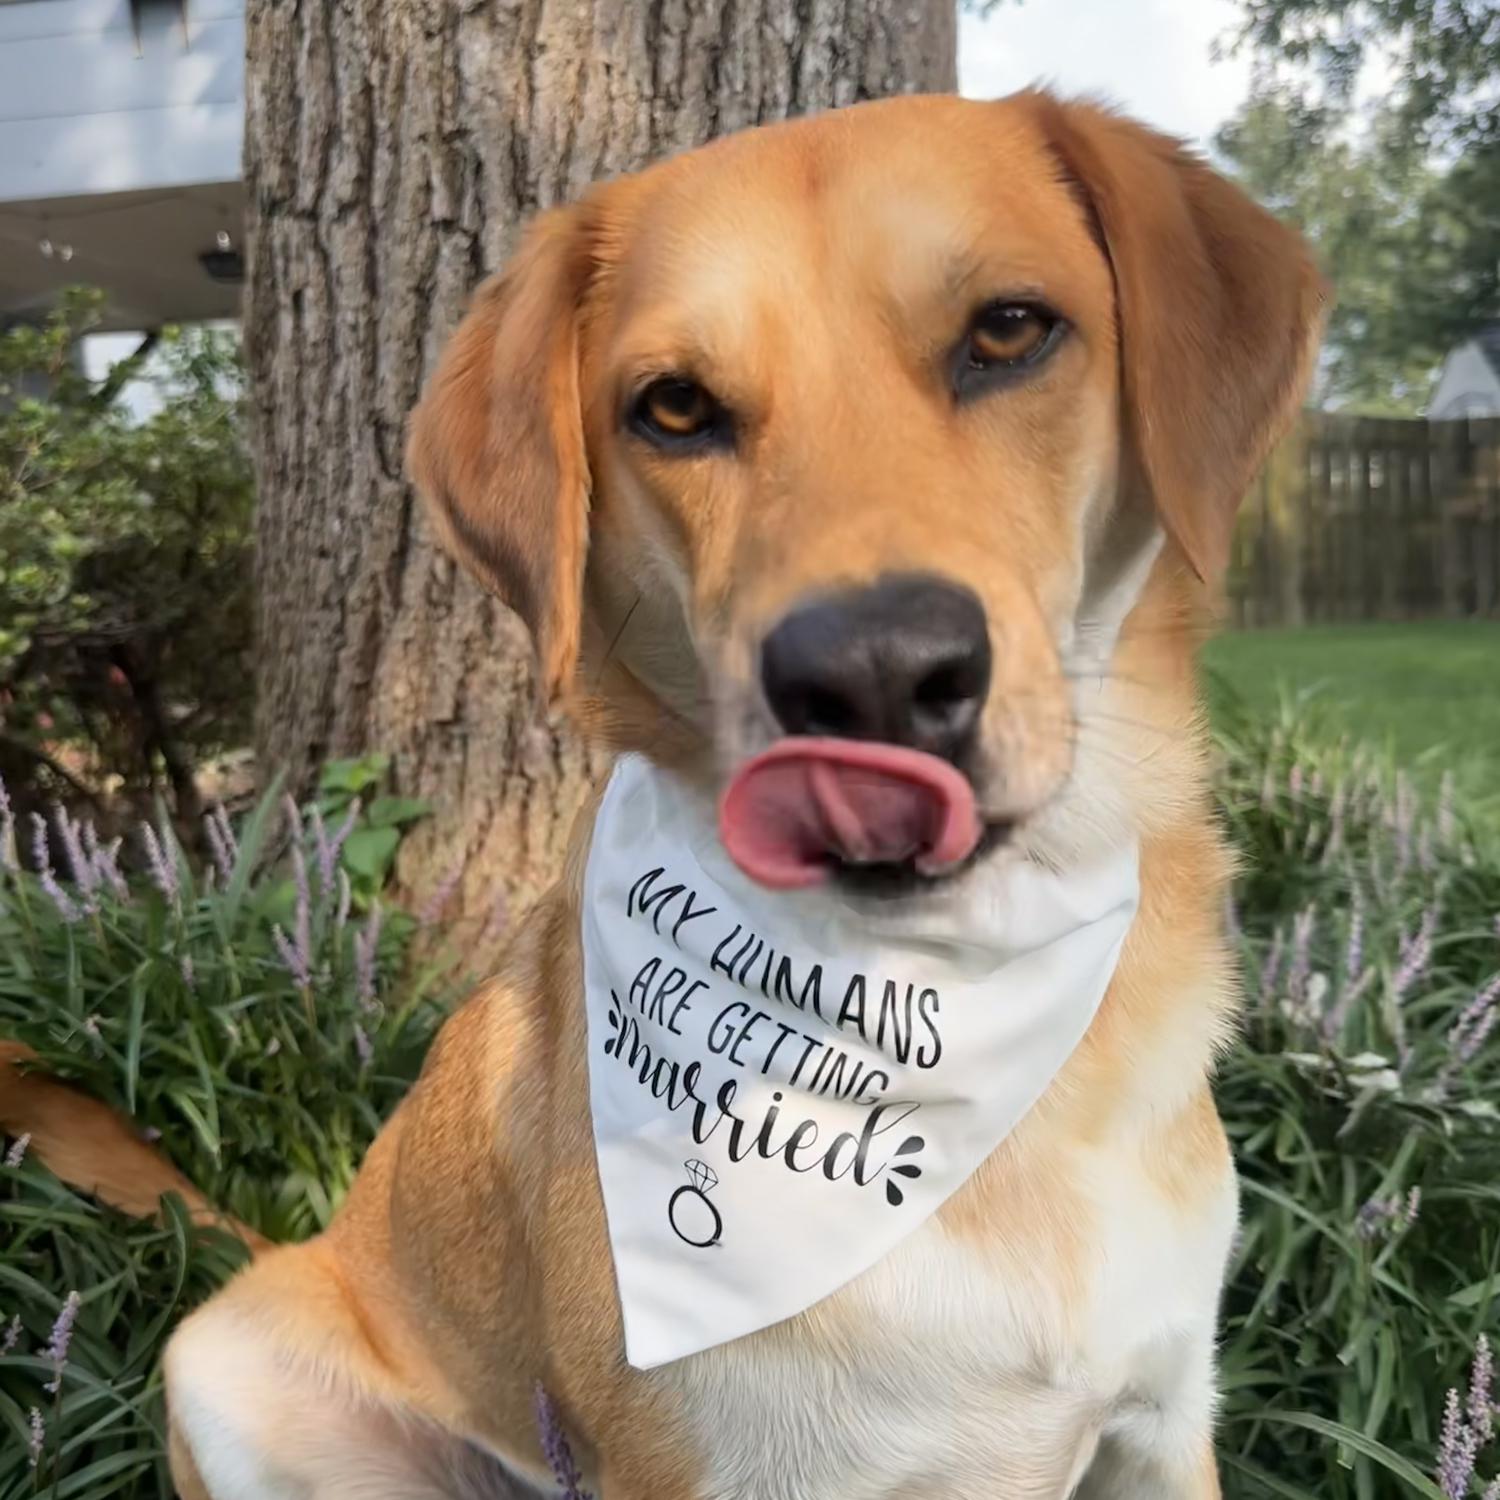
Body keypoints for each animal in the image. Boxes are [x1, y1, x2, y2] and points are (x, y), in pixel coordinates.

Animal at [8, 93, 1326, 1500]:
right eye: (678, 407)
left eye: (1011, 330)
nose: (873, 673)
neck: (937, 998)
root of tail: (304, 1249)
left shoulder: (1163, 1429)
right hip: (228, 1373)